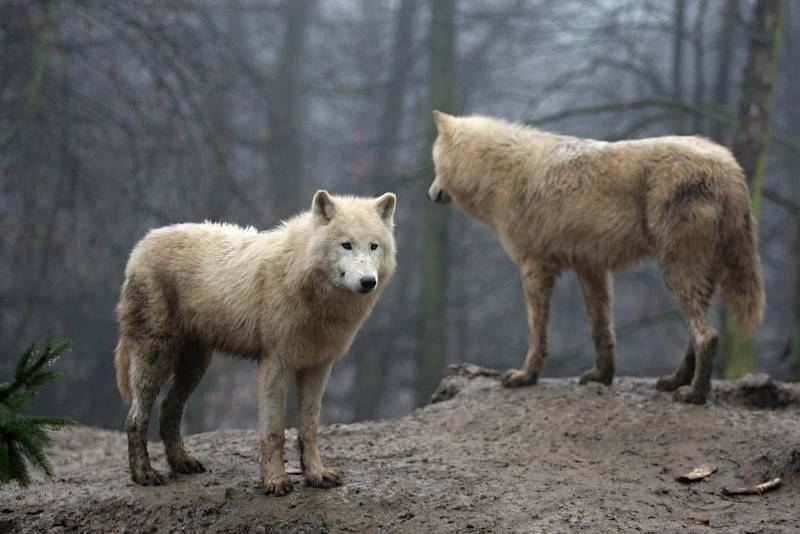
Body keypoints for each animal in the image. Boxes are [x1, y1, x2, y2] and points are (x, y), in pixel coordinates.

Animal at [113, 191, 396, 496]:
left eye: (373, 246)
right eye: (346, 245)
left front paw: (316, 474)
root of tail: (142, 243)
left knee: (169, 408)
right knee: (135, 418)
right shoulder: (275, 365)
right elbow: (273, 432)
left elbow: (309, 428)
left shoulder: (318, 367)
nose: (368, 281)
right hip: (155, 358)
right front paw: (274, 481)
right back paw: (144, 474)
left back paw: (181, 462)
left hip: (195, 364)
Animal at [428, 113, 764, 406]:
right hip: (696, 275)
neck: (500, 171)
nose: (430, 193)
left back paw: (693, 394)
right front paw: (602, 376)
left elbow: (537, 333)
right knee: (696, 335)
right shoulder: (591, 268)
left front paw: (525, 376)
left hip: (676, 271)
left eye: (434, 163)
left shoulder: (534, 266)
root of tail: (729, 167)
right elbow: (601, 329)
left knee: (706, 335)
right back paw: (674, 381)